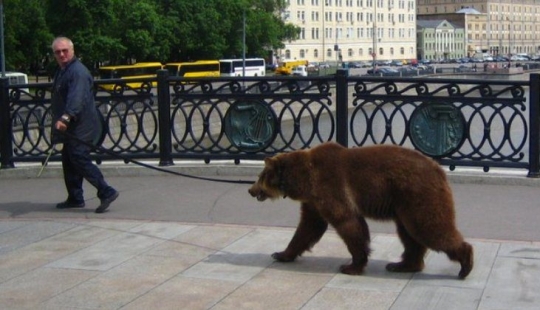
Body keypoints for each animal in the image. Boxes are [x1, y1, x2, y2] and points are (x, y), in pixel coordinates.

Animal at [249, 142, 472, 280]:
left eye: (260, 176)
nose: (251, 190)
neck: (304, 179)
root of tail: (439, 169)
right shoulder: (313, 201)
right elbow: (307, 228)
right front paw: (281, 253)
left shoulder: (330, 186)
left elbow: (348, 223)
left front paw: (351, 266)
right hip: (405, 206)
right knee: (410, 236)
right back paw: (402, 265)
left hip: (418, 195)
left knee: (430, 228)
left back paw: (465, 265)